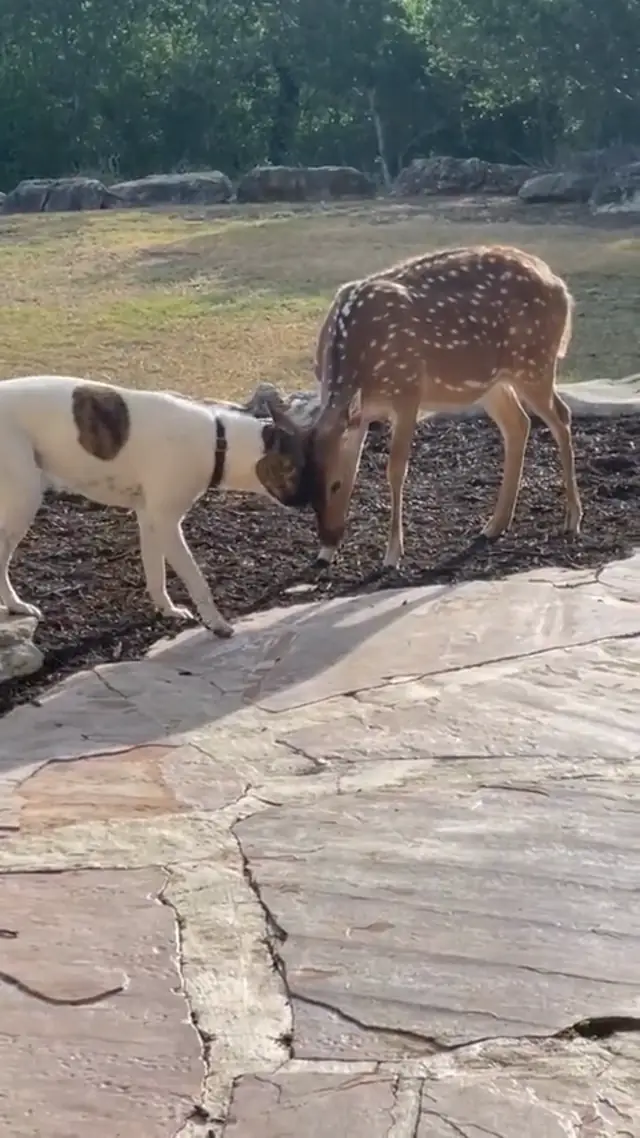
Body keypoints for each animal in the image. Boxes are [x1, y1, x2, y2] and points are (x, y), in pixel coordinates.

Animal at [265, 244, 583, 569]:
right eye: (308, 489)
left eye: (335, 485)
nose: (328, 538)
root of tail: (561, 287)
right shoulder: (362, 413)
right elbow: (357, 462)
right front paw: (328, 552)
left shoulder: (407, 393)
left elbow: (395, 470)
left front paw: (393, 554)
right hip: (492, 382)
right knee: (518, 423)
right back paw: (495, 525)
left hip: (534, 363)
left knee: (561, 416)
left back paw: (572, 519)